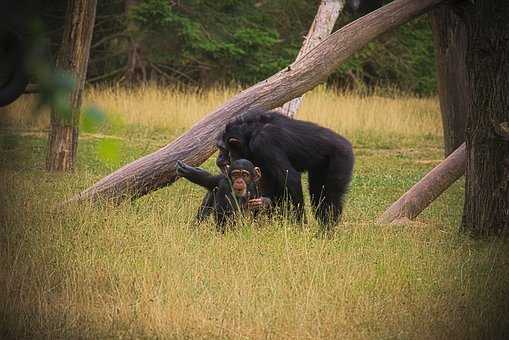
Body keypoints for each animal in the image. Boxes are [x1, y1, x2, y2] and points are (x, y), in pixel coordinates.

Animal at [218, 111, 354, 231]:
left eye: (222, 148)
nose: (219, 159)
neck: (250, 134)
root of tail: (347, 143)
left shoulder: (264, 142)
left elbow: (290, 180)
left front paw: (300, 225)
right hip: (320, 168)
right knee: (318, 196)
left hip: (341, 159)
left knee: (332, 196)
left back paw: (327, 230)